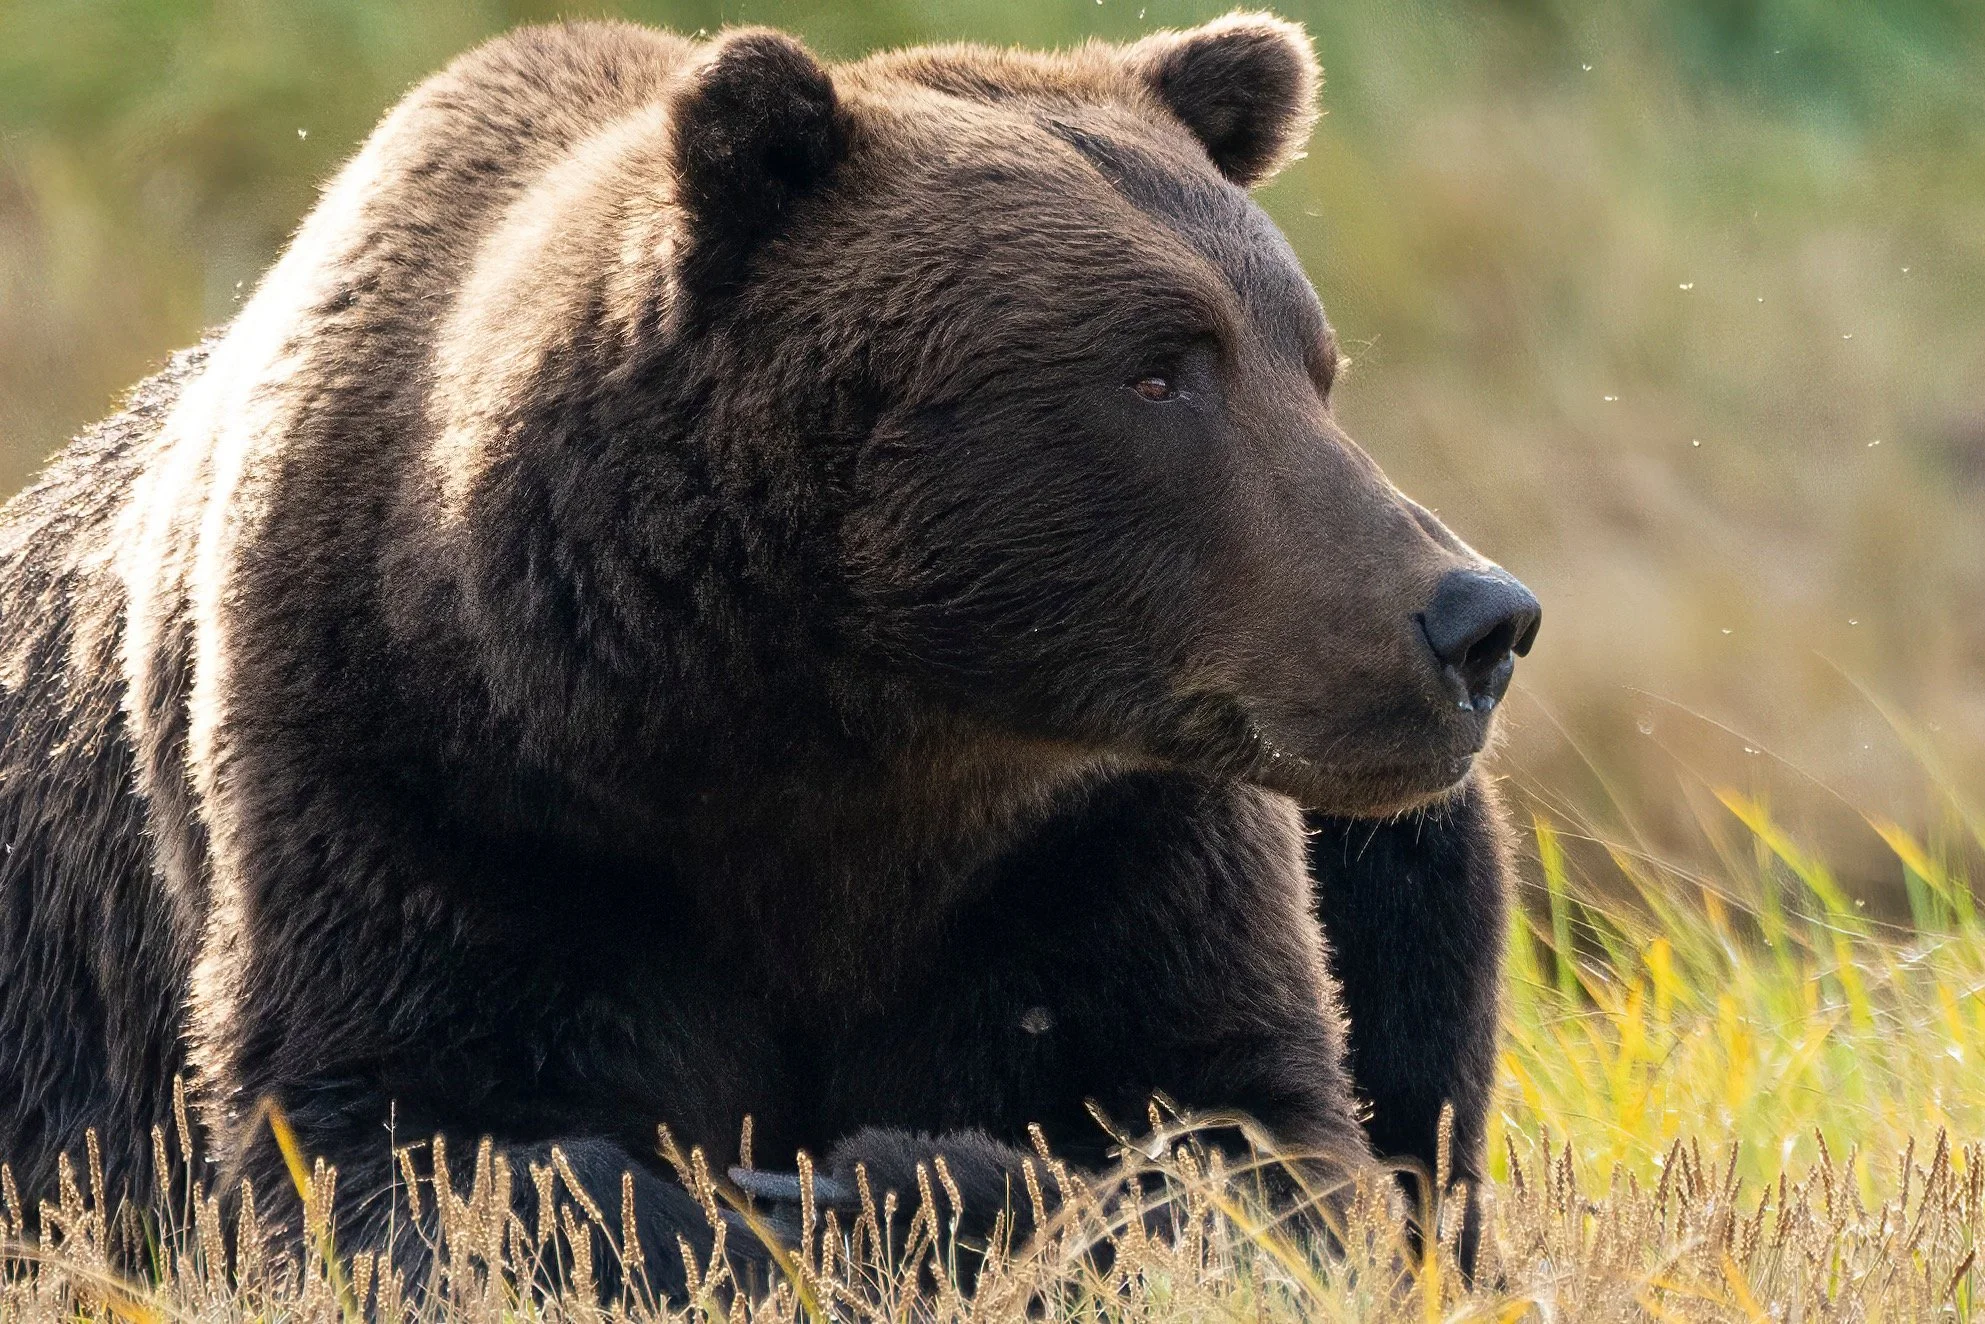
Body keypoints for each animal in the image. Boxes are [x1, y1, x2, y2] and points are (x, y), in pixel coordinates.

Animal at [0, 13, 1539, 1296]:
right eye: (1159, 368)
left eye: (1312, 362)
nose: (1477, 620)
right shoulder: (412, 774)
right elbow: (396, 1138)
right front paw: (705, 1206)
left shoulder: (1098, 839)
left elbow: (1245, 1136)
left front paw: (876, 1187)